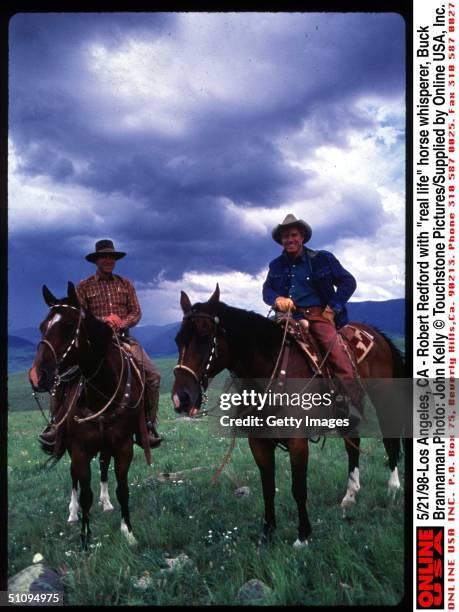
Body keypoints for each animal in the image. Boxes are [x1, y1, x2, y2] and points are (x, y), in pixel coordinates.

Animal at [28, 282, 151, 548]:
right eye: (42, 326)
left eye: (67, 326)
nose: (36, 376)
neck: (102, 391)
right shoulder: (79, 448)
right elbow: (85, 492)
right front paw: (85, 540)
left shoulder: (123, 445)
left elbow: (123, 489)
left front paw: (129, 532)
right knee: (73, 477)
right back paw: (73, 513)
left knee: (104, 466)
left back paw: (106, 503)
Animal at [172, 284, 406, 548]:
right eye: (178, 340)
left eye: (205, 336)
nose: (181, 398)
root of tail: (374, 332)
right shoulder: (258, 442)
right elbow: (268, 486)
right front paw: (267, 533)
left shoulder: (297, 442)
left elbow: (298, 488)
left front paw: (303, 536)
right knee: (352, 443)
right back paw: (350, 494)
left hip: (383, 396)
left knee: (389, 439)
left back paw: (393, 487)